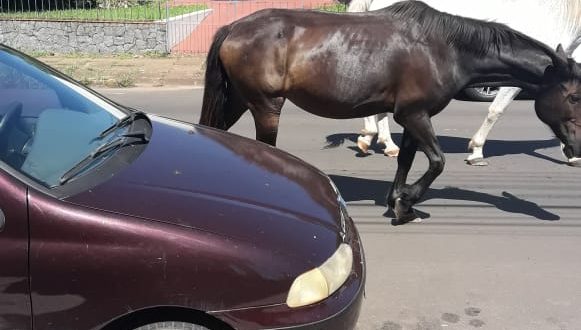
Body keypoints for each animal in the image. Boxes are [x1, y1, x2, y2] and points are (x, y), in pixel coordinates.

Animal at [348, 0, 580, 165]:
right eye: (574, 98)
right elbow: (496, 110)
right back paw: (372, 139)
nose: (576, 150)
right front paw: (476, 151)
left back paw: (385, 144)